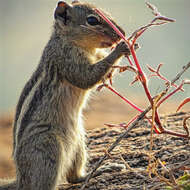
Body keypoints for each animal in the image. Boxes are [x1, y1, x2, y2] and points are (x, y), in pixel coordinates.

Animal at [0, 1, 131, 190]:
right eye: (92, 20)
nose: (123, 33)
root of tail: (20, 179)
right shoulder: (67, 59)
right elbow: (86, 77)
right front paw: (121, 48)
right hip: (49, 148)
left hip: (79, 142)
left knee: (74, 177)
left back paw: (102, 169)